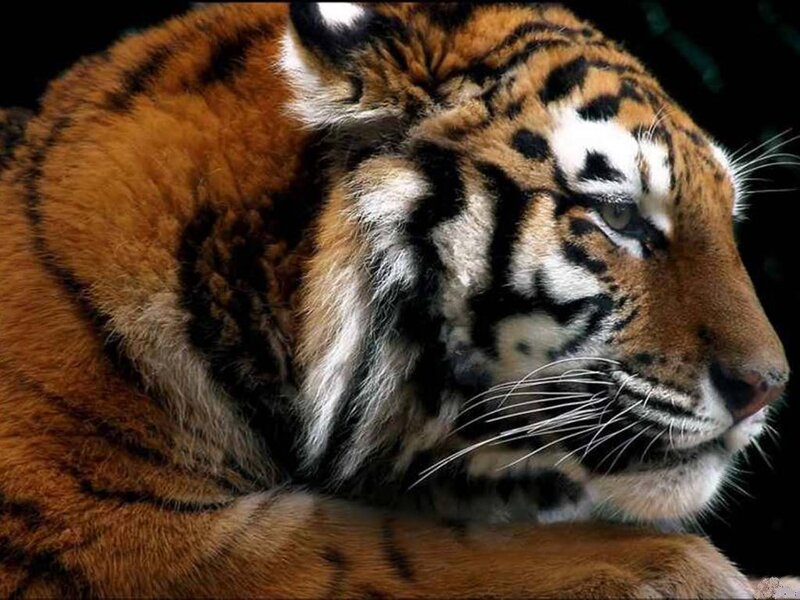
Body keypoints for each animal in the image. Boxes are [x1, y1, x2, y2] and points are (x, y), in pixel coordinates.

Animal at [0, 2, 791, 597]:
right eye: (619, 216)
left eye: (728, 215)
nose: (767, 388)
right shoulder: (110, 526)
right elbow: (402, 552)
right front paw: (690, 572)